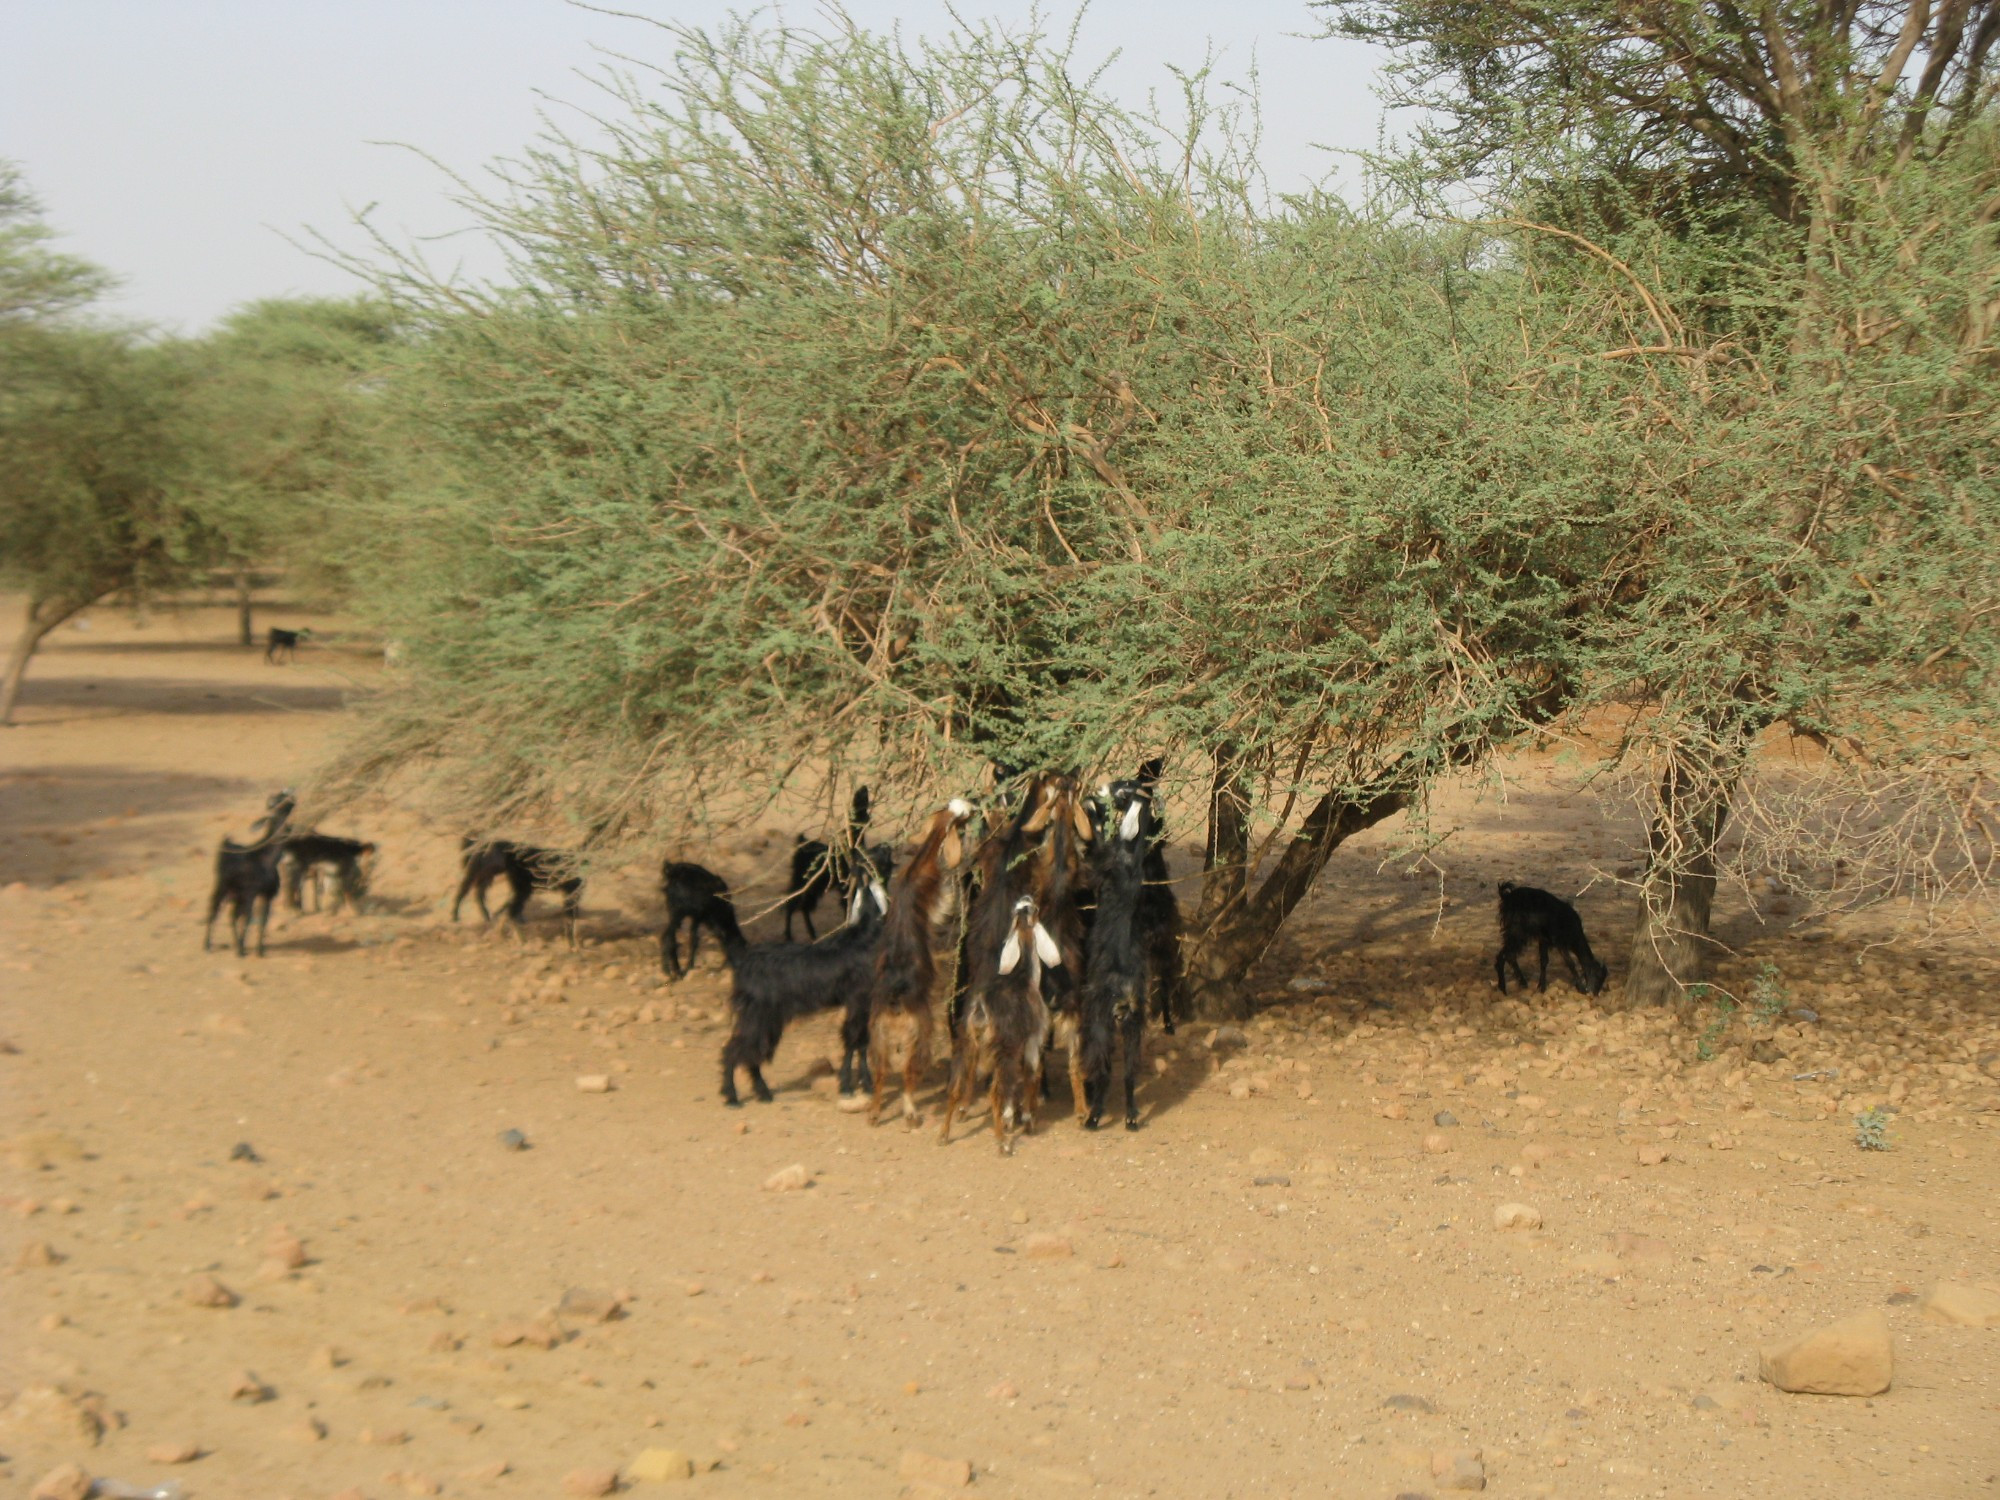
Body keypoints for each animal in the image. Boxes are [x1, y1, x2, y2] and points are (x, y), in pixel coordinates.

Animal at [452, 840, 580, 944]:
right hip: (480, 873)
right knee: (464, 891)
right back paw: (456, 917)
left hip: (488, 875)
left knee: (479, 893)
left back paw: (489, 917)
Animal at [724, 876, 888, 1112]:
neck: (864, 936)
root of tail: (742, 965)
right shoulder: (858, 999)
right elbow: (853, 1038)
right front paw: (851, 1086)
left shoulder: (862, 1004)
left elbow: (860, 1041)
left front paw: (859, 1084)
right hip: (758, 1015)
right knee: (735, 1050)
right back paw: (732, 1097)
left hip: (767, 1019)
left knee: (752, 1051)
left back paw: (763, 1093)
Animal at [860, 800, 976, 1128]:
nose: (971, 808)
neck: (916, 868)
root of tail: (896, 1003)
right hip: (919, 1041)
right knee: (909, 1076)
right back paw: (911, 1114)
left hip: (878, 1042)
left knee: (881, 1075)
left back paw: (874, 1113)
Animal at [936, 900, 1064, 1160]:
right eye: (1033, 908)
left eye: (1024, 907)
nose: (1027, 900)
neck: (1027, 976)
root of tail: (980, 1007)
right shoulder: (1033, 1040)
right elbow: (1030, 1075)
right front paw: (1028, 1121)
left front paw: (1010, 1119)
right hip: (1005, 1048)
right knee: (995, 1091)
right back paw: (1003, 1144)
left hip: (965, 1043)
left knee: (955, 1087)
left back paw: (944, 1136)